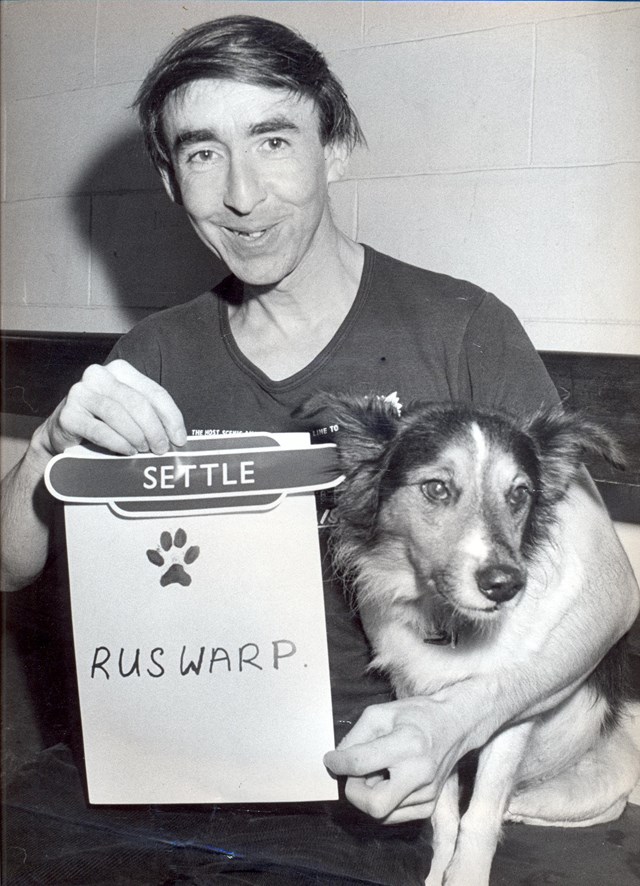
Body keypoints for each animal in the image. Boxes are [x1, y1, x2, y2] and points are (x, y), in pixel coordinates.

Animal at [302, 398, 640, 886]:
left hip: (586, 786)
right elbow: (445, 813)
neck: (452, 624)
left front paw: (465, 874)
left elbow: (478, 816)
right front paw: (440, 869)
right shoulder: (424, 711)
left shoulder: (509, 719)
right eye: (437, 489)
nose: (505, 585)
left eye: (519, 494)